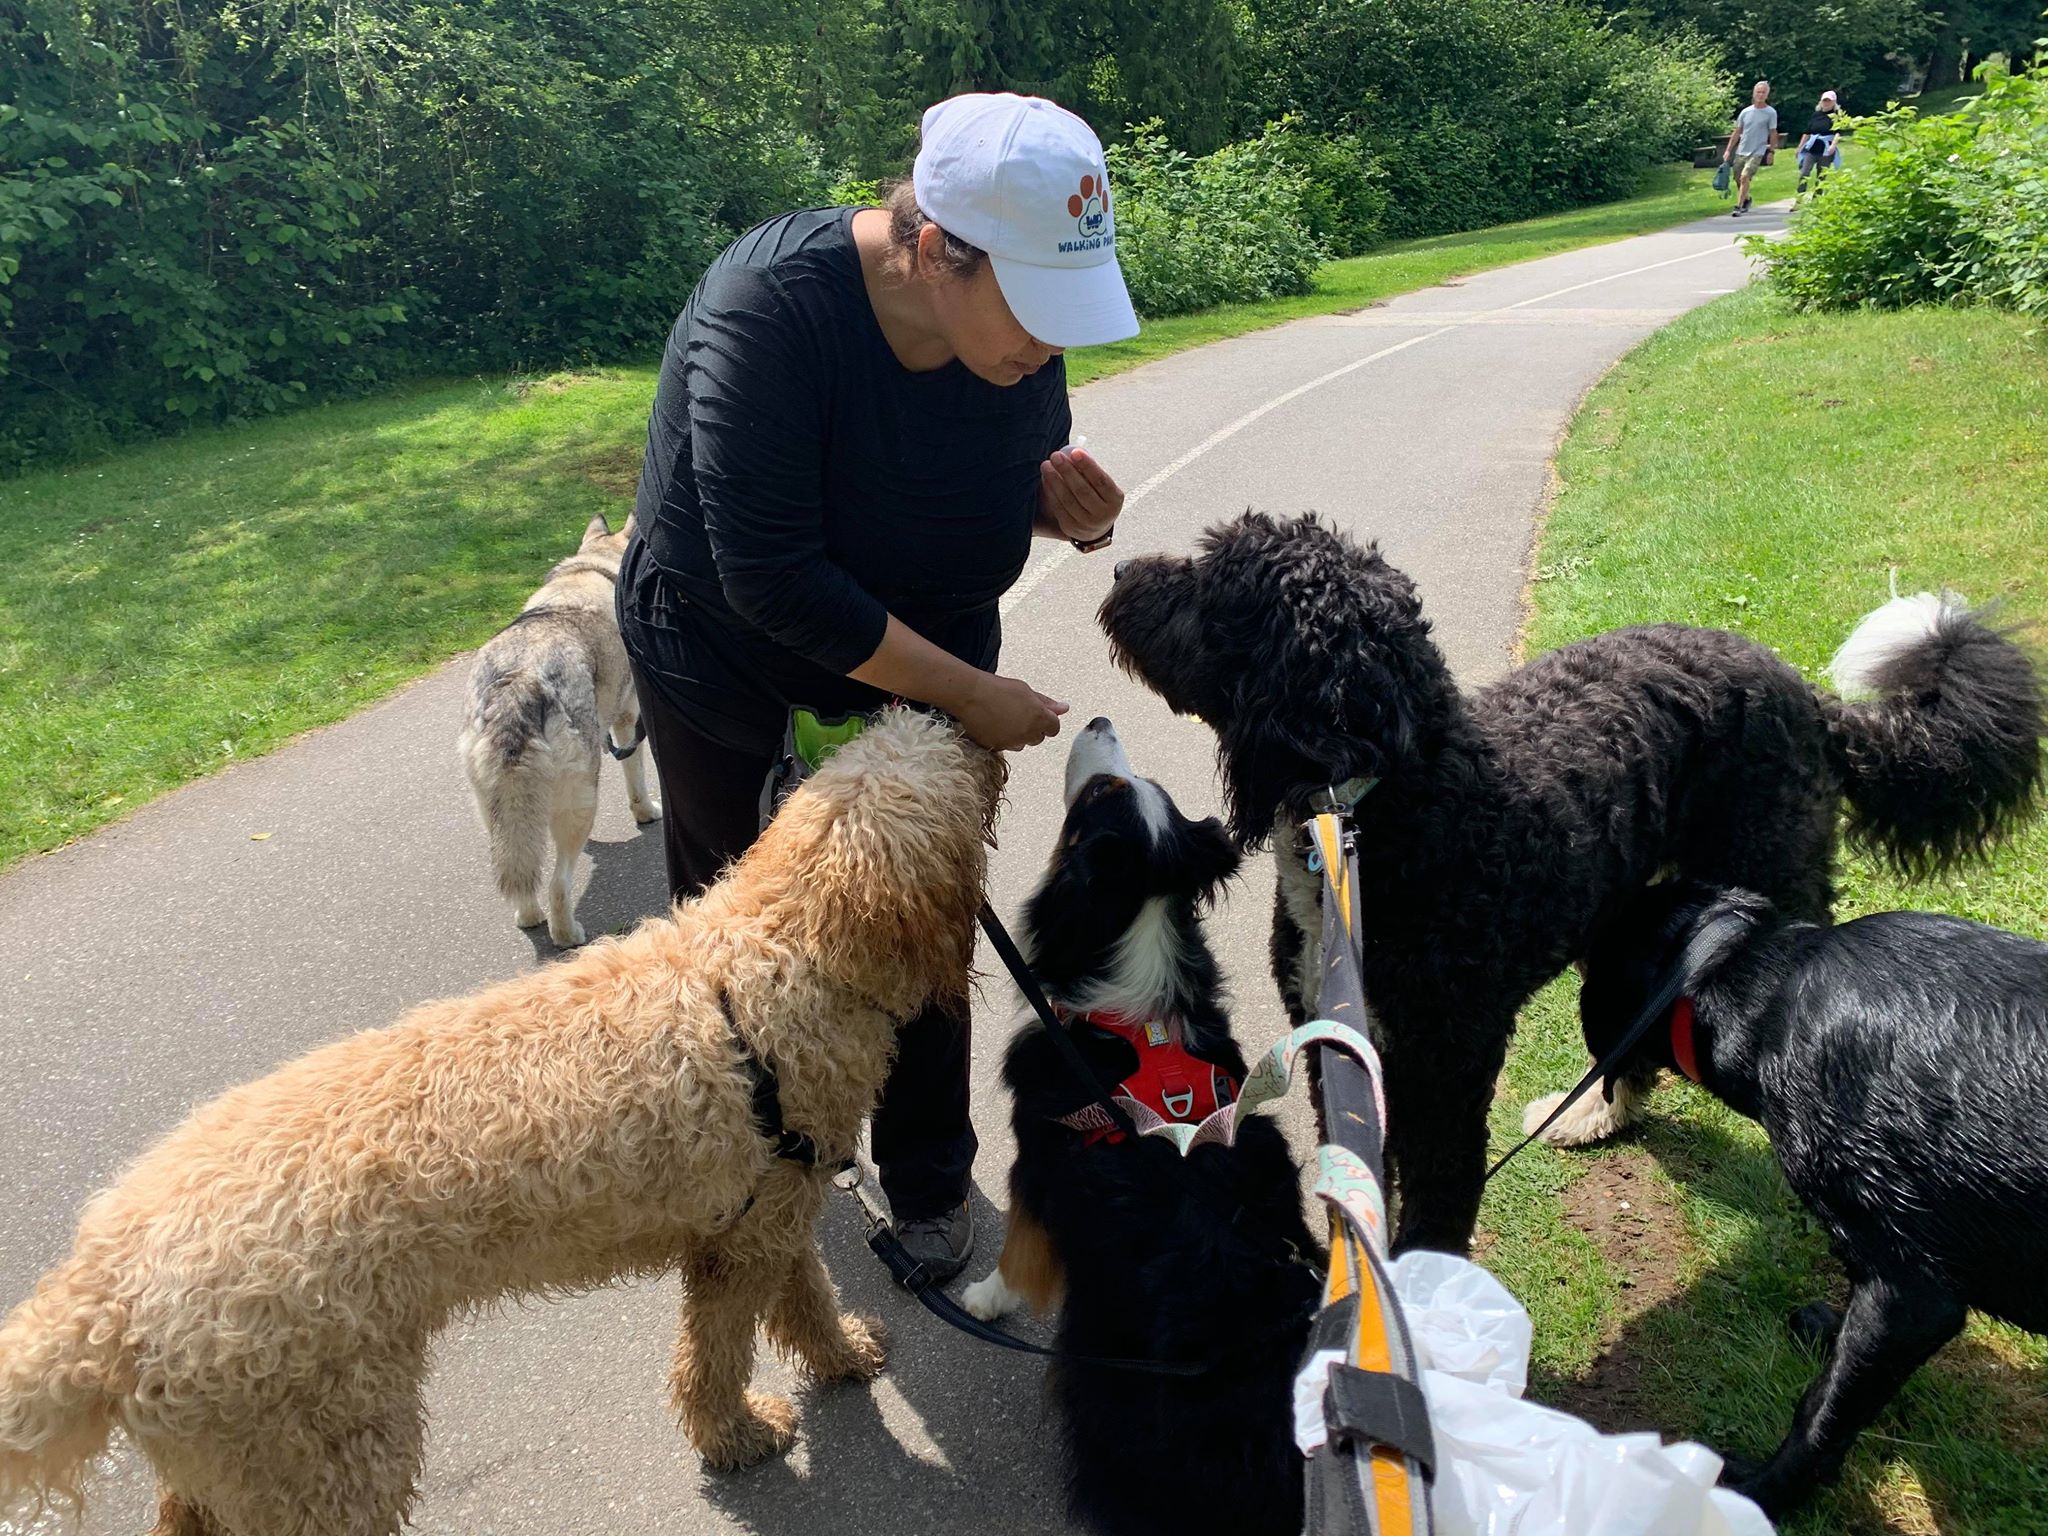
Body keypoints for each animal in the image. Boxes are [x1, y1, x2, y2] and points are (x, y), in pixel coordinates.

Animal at [0, 707, 1000, 1536]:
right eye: (946, 760)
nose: (986, 730)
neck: (776, 953)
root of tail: (98, 1287)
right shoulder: (741, 1242)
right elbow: (713, 1357)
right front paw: (736, 1436)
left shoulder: (769, 1215)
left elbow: (805, 1300)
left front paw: (839, 1355)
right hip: (326, 1454)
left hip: (235, 1459)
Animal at [458, 512, 660, 947]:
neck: (590, 569)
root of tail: (518, 685)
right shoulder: (627, 718)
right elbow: (636, 779)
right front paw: (647, 813)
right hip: (584, 798)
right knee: (559, 884)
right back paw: (567, 934)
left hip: (494, 813)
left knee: (525, 879)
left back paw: (529, 915)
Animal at [962, 717, 1320, 1536]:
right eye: (1127, 785)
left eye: (1101, 792)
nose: (1098, 721)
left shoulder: (1036, 1155)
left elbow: (1019, 1246)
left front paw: (987, 1298)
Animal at [1100, 511, 2043, 1254]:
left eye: (1216, 580)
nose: (1113, 569)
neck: (1390, 805)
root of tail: (1810, 699)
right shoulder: (1343, 1044)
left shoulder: (1446, 1068)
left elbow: (1435, 1206)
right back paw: (1597, 1116)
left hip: (1767, 875)